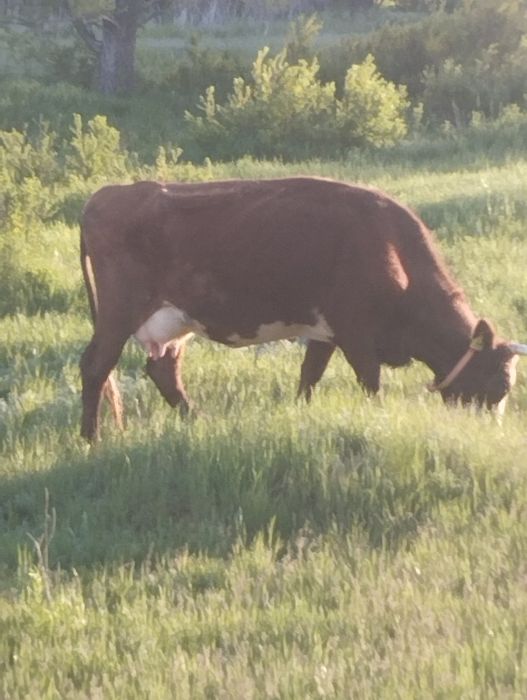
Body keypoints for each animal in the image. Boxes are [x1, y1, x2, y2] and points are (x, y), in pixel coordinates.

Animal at [79, 177, 526, 442]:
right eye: (500, 386)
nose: (490, 434)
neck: (393, 252)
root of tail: (107, 193)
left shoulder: (324, 332)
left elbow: (309, 376)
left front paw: (300, 412)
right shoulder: (356, 333)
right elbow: (371, 383)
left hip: (176, 320)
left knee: (163, 371)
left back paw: (196, 420)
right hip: (119, 312)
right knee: (97, 366)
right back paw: (90, 438)